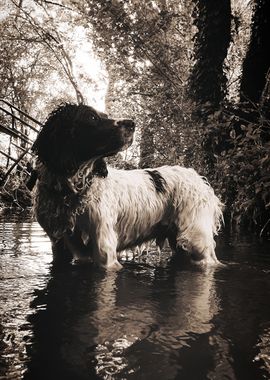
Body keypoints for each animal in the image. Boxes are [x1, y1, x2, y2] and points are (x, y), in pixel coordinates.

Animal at [31, 102, 223, 268]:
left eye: (105, 115)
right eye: (92, 117)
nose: (131, 123)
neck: (72, 189)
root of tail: (200, 179)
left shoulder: (104, 248)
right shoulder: (59, 246)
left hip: (196, 240)